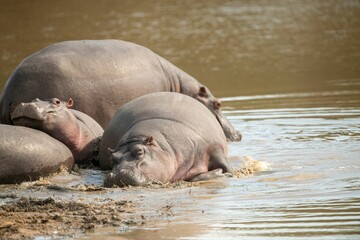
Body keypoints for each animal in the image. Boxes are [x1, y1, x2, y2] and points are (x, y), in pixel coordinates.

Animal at [98, 92, 233, 188]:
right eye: (112, 159)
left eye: (140, 151)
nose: (116, 174)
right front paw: (219, 172)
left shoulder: (213, 147)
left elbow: (226, 167)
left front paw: (226, 173)